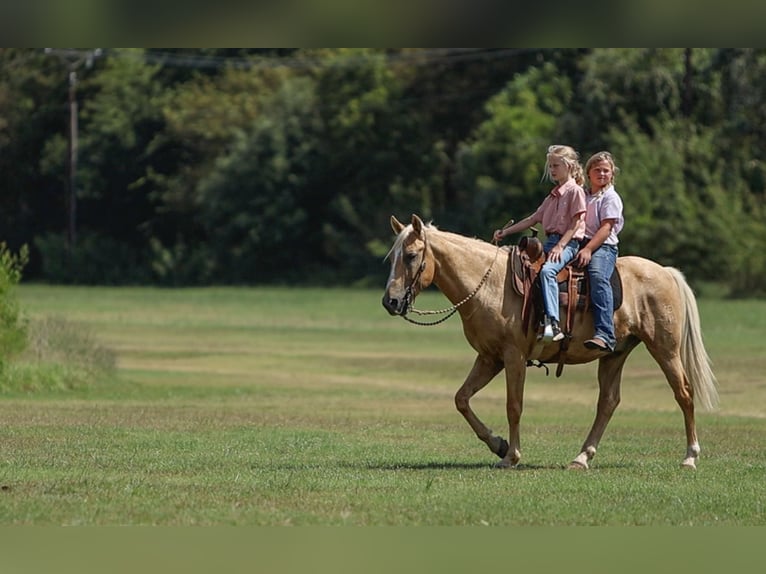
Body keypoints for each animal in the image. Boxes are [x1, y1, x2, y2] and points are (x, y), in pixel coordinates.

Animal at [384, 214, 720, 470]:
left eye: (411, 256)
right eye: (392, 258)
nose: (391, 301)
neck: (490, 285)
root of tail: (665, 272)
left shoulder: (513, 356)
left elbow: (514, 406)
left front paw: (511, 456)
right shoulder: (489, 358)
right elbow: (461, 399)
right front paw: (498, 445)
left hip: (665, 349)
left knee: (684, 393)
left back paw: (690, 457)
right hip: (615, 354)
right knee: (608, 402)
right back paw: (582, 457)